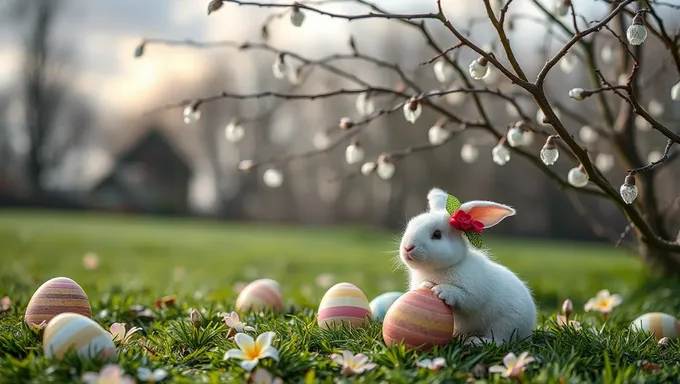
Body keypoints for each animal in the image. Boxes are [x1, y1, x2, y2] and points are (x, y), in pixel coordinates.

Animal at [398, 188, 536, 346]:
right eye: (410, 225)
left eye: (437, 234)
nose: (408, 248)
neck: (439, 269)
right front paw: (426, 285)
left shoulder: (472, 292)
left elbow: (464, 297)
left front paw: (441, 291)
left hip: (507, 322)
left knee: (501, 339)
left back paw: (476, 341)